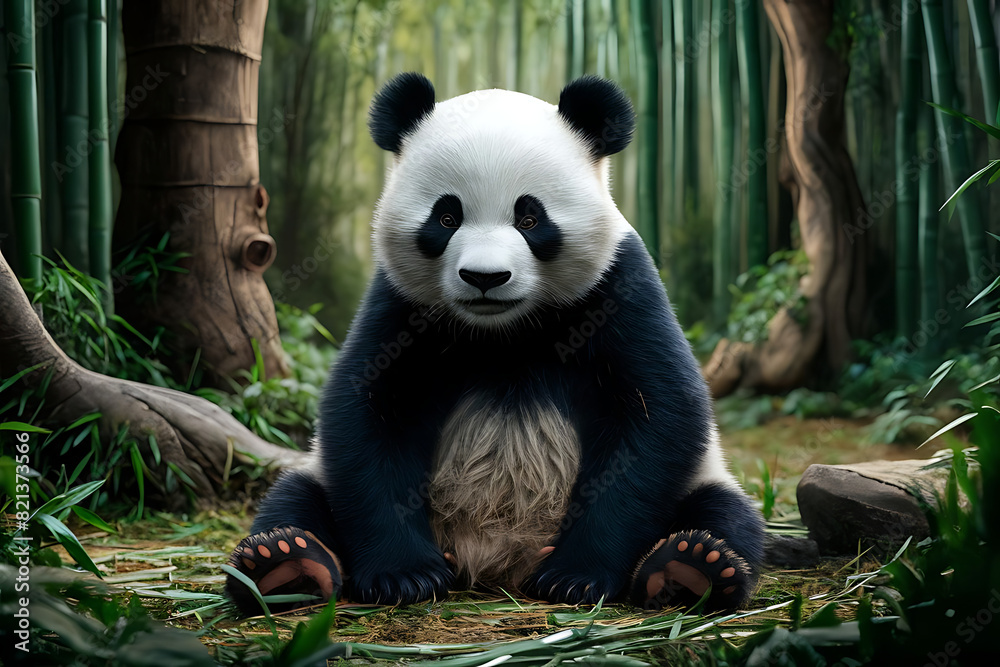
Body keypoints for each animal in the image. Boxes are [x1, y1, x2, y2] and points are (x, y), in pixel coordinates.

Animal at [226, 73, 764, 615]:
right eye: (446, 218)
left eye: (530, 218)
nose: (485, 278)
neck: (503, 330)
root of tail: (500, 562)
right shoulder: (399, 304)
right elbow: (364, 411)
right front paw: (405, 575)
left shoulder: (619, 287)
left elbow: (660, 411)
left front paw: (575, 576)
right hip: (325, 480)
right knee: (295, 495)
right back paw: (283, 562)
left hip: (704, 477)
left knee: (725, 512)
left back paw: (690, 566)